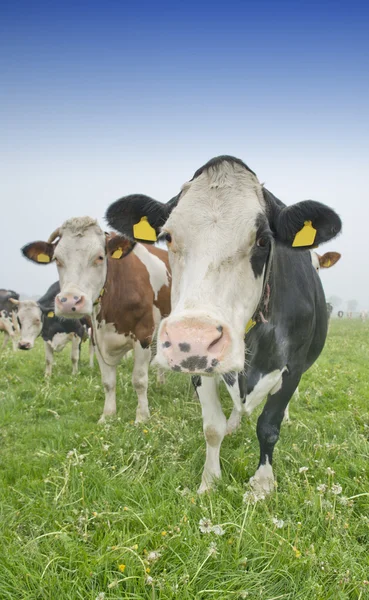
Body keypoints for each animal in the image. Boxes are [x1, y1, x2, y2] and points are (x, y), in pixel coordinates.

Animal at [20, 217, 170, 422]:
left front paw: (141, 417)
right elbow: (108, 382)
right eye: (57, 259)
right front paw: (107, 416)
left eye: (99, 257)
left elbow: (139, 380)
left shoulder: (143, 335)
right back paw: (160, 382)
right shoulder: (98, 337)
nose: (69, 301)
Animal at [104, 155, 342, 496]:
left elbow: (269, 426)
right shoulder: (200, 368)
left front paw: (262, 484)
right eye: (168, 236)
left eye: (263, 240)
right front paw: (209, 481)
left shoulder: (293, 366)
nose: (192, 339)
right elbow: (211, 427)